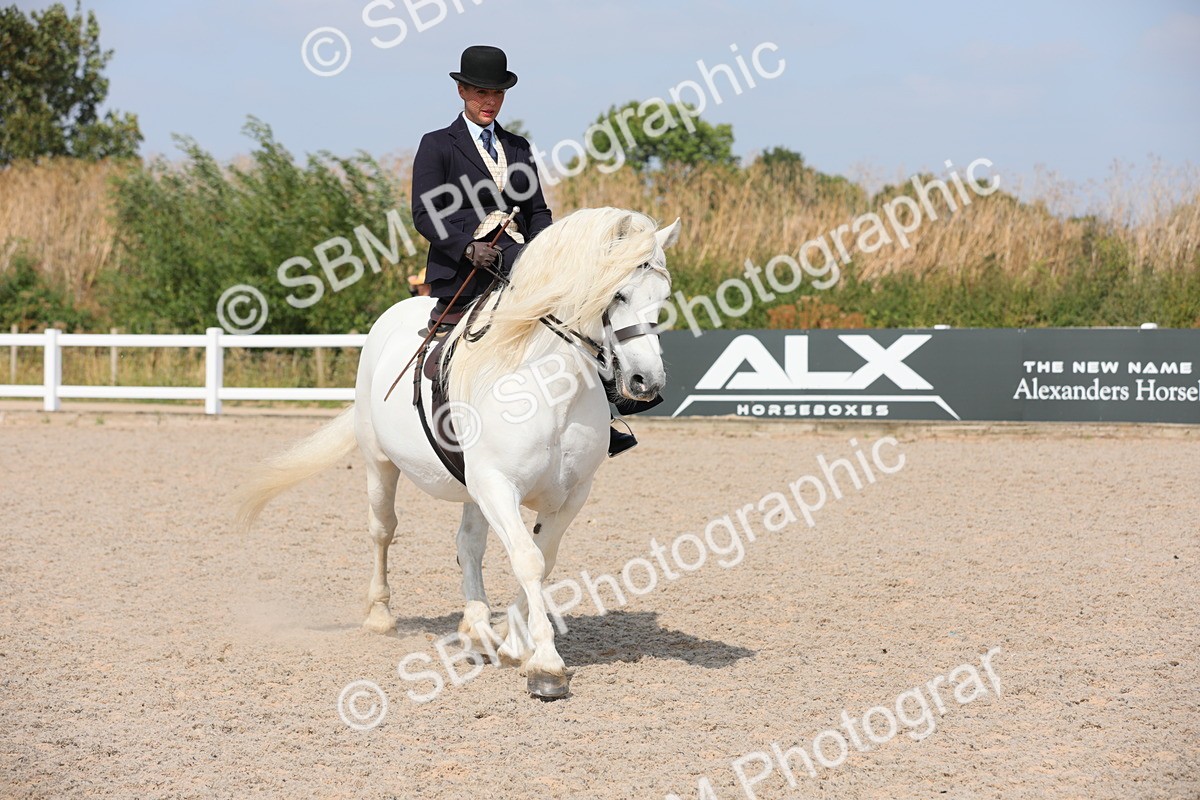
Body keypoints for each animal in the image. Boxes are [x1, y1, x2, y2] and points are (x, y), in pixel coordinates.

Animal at [236, 207, 680, 698]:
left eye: (663, 297)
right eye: (617, 294)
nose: (647, 383)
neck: (550, 387)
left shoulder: (569, 495)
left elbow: (541, 560)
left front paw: (513, 643)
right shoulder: (497, 485)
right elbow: (527, 559)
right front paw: (545, 666)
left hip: (471, 488)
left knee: (468, 544)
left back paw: (478, 629)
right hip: (380, 464)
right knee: (383, 531)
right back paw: (381, 615)